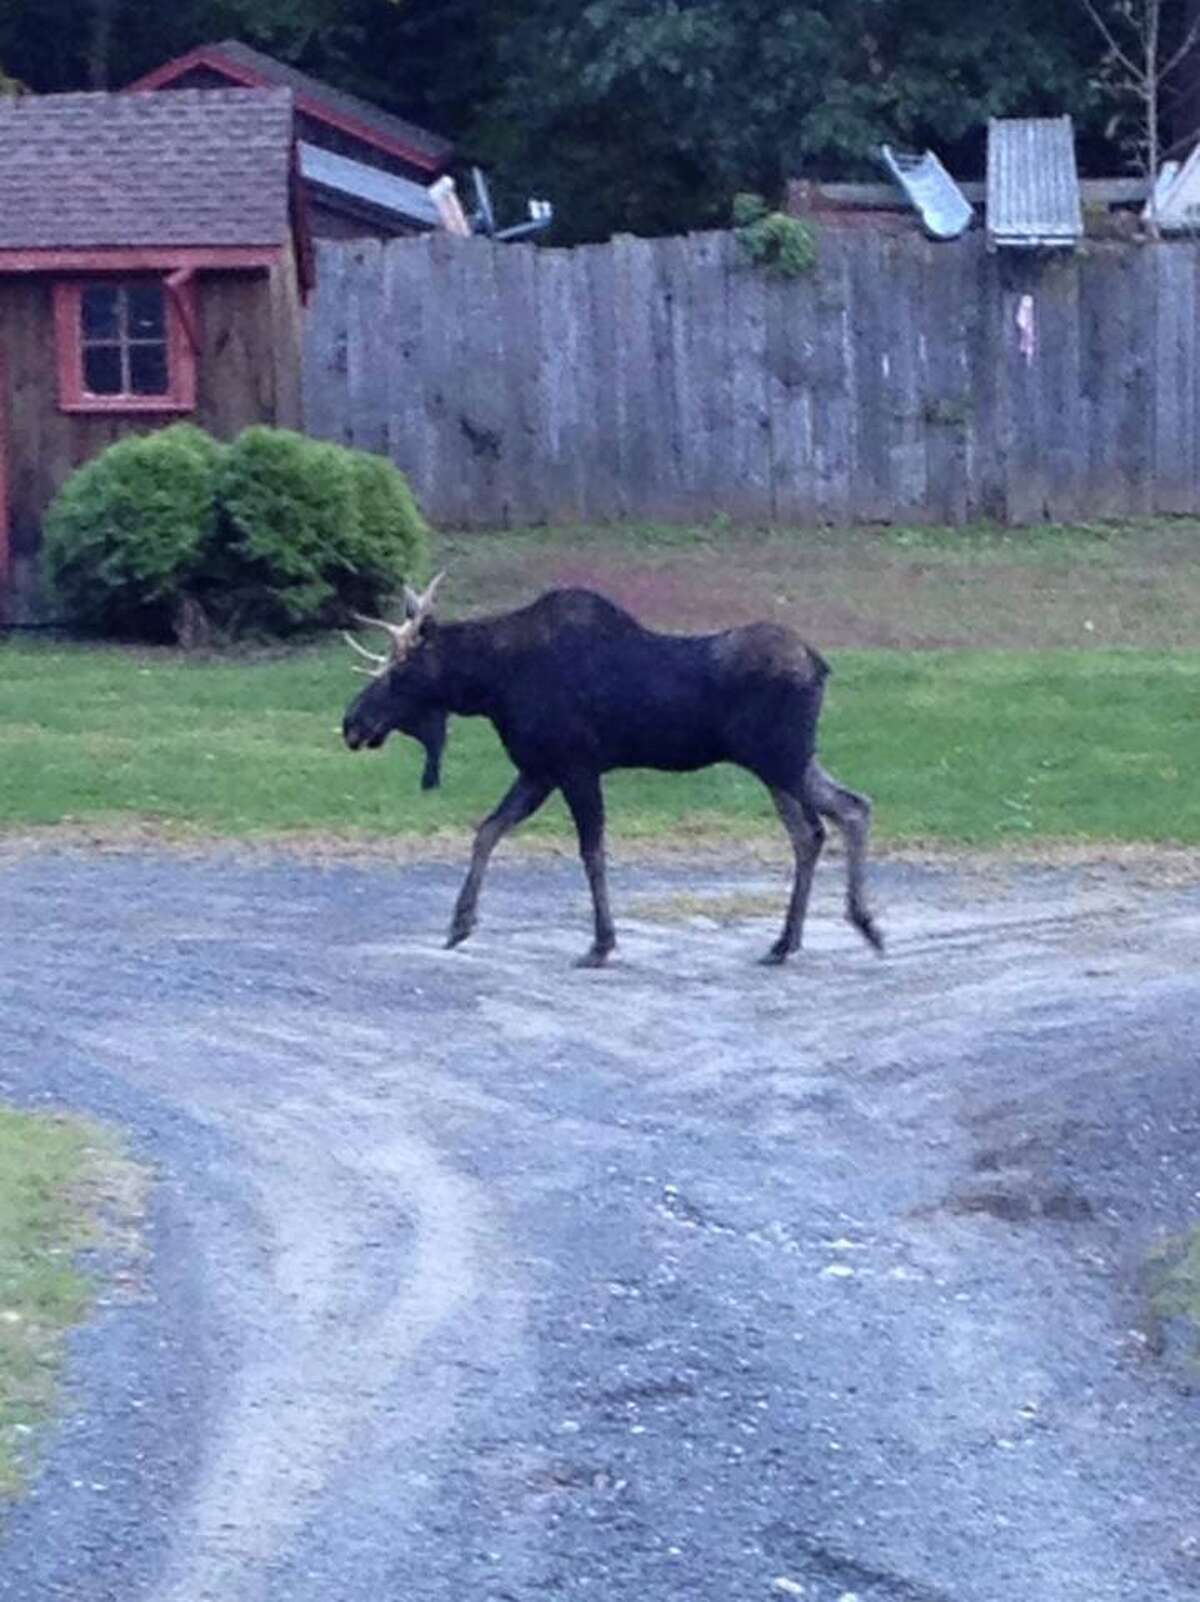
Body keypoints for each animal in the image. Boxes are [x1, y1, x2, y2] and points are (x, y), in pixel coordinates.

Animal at [342, 575, 882, 968]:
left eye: (398, 670)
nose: (351, 722)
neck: (490, 686)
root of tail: (821, 666)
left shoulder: (575, 767)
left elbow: (592, 852)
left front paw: (601, 944)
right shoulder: (540, 769)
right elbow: (488, 831)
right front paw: (459, 924)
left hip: (780, 759)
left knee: (844, 811)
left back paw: (861, 924)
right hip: (782, 764)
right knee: (821, 826)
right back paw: (788, 941)